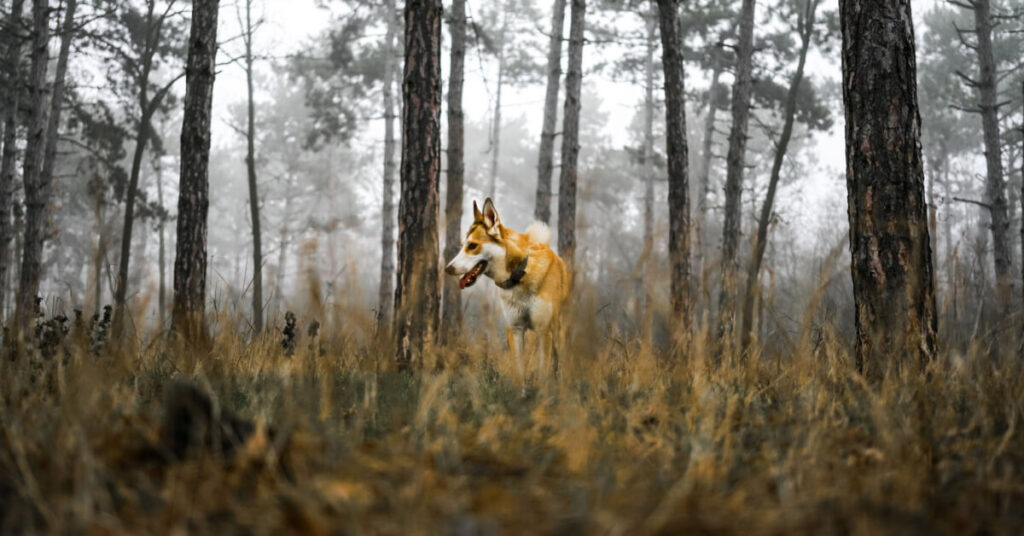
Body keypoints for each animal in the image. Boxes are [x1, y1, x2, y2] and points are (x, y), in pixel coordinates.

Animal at [444, 196, 573, 377]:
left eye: (472, 246)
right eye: (462, 246)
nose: (447, 268)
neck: (520, 276)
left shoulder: (543, 331)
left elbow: (542, 375)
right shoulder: (515, 330)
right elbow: (518, 373)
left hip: (557, 333)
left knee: (559, 365)